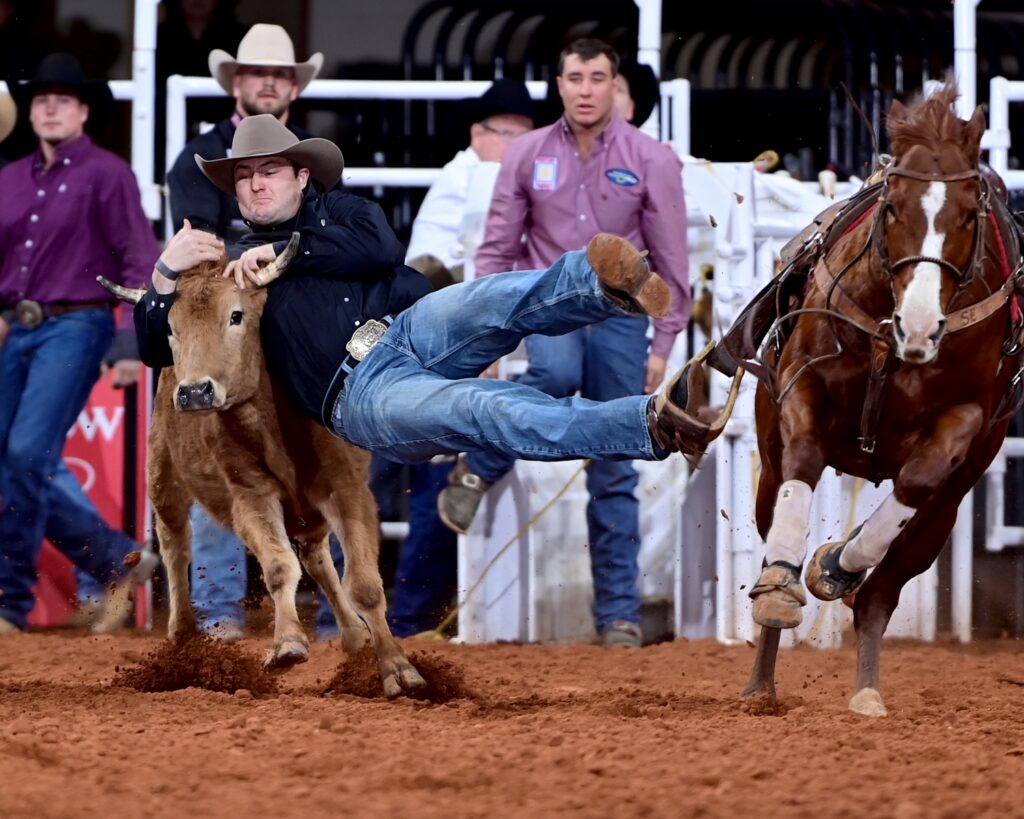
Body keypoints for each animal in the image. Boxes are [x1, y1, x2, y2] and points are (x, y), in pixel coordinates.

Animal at [745, 79, 1024, 712]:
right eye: (893, 205)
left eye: (968, 213)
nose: (918, 327)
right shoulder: (802, 385)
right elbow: (804, 460)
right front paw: (783, 583)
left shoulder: (964, 421)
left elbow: (915, 483)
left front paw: (837, 563)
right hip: (766, 471)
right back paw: (761, 683)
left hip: (942, 518)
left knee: (879, 596)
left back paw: (867, 688)